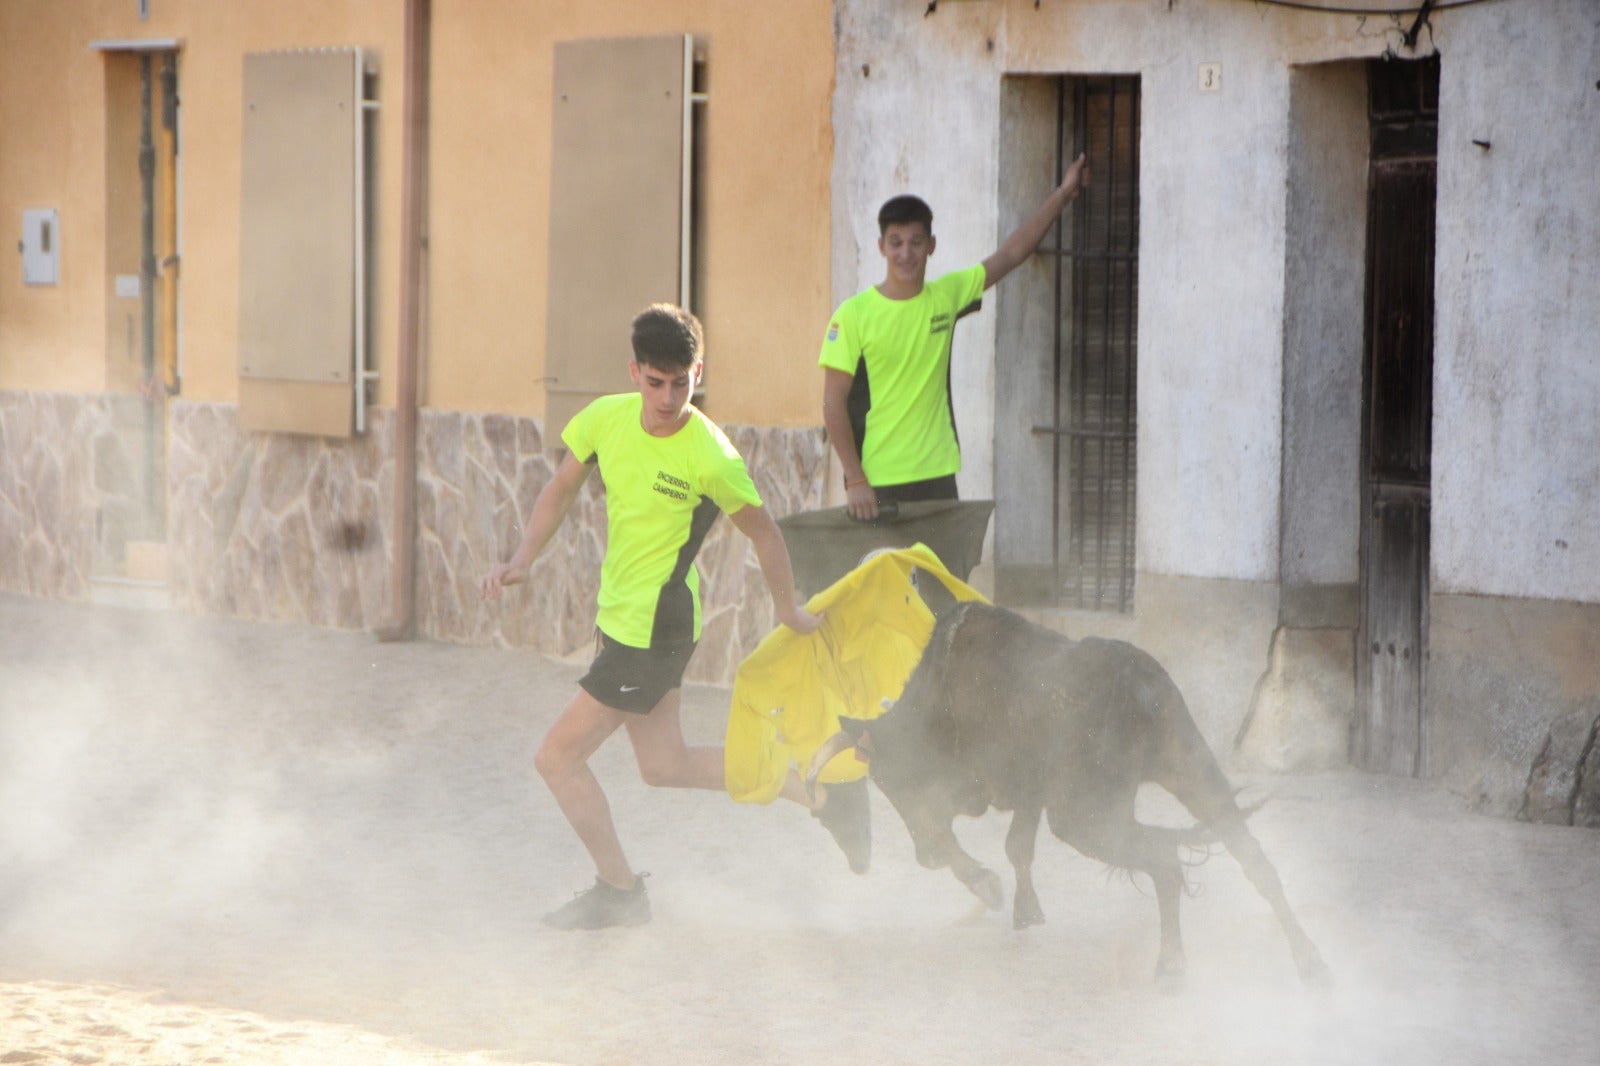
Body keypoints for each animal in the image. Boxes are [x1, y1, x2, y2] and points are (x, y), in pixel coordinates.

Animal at [806, 598, 1331, 985]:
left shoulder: (979, 785)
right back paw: (1310, 962)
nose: (925, 859)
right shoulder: (1029, 789)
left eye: (888, 780)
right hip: (1190, 766)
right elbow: (1017, 845)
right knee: (1252, 857)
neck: (938, 695)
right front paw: (1026, 911)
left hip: (1085, 817)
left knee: (1164, 859)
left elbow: (956, 828)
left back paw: (1171, 967)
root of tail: (1138, 681)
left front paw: (988, 886)